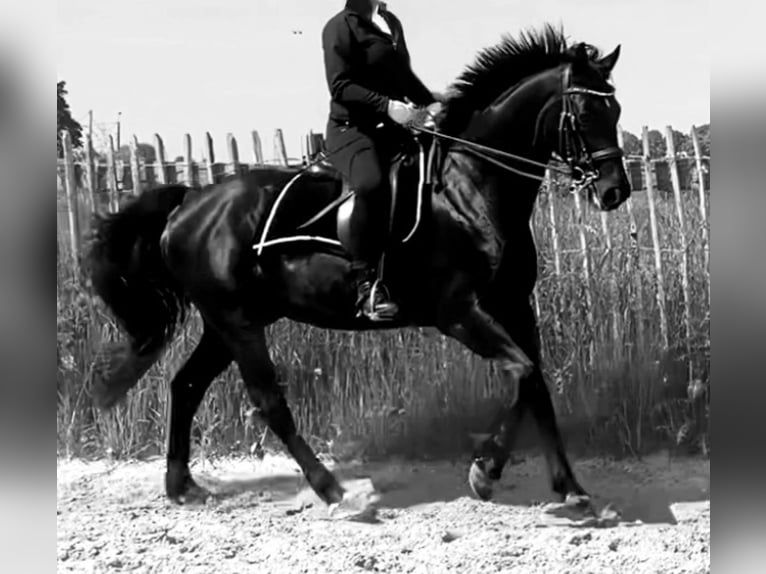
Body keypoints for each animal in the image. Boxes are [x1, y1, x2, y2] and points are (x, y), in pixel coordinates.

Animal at [85, 24, 630, 515]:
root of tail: (189, 203)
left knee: (186, 385)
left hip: (227, 323)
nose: (614, 191)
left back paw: (182, 485)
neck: (469, 190)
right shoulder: (459, 313)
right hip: (236, 323)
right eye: (585, 111)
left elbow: (537, 386)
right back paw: (333, 491)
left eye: (617, 109)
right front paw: (485, 471)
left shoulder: (514, 305)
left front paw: (571, 488)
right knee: (268, 401)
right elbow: (521, 373)